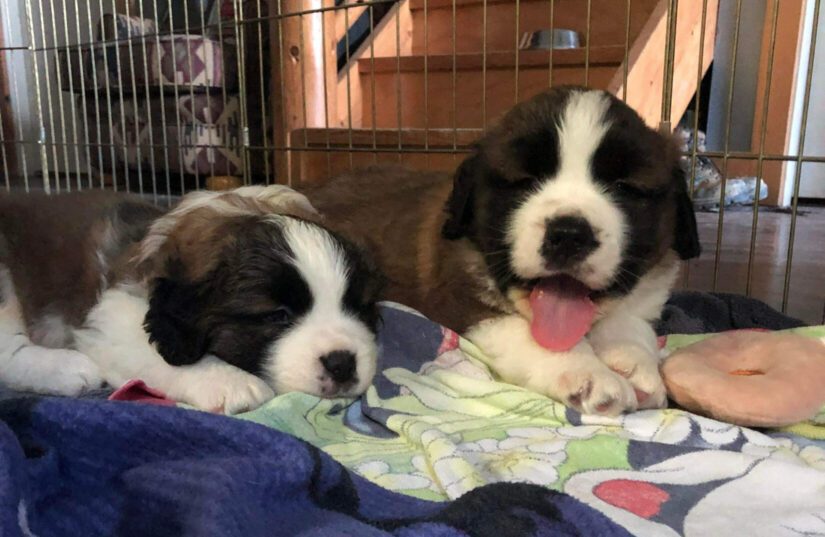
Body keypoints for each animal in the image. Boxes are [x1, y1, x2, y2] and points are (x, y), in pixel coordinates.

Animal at [0, 186, 384, 412]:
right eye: (278, 316)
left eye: (357, 307)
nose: (342, 364)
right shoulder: (111, 314)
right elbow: (151, 349)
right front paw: (228, 380)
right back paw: (65, 368)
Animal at [300, 88, 700, 416]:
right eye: (524, 182)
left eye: (623, 188)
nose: (569, 234)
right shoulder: (463, 302)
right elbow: (529, 337)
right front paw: (586, 371)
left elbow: (631, 324)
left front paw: (634, 364)